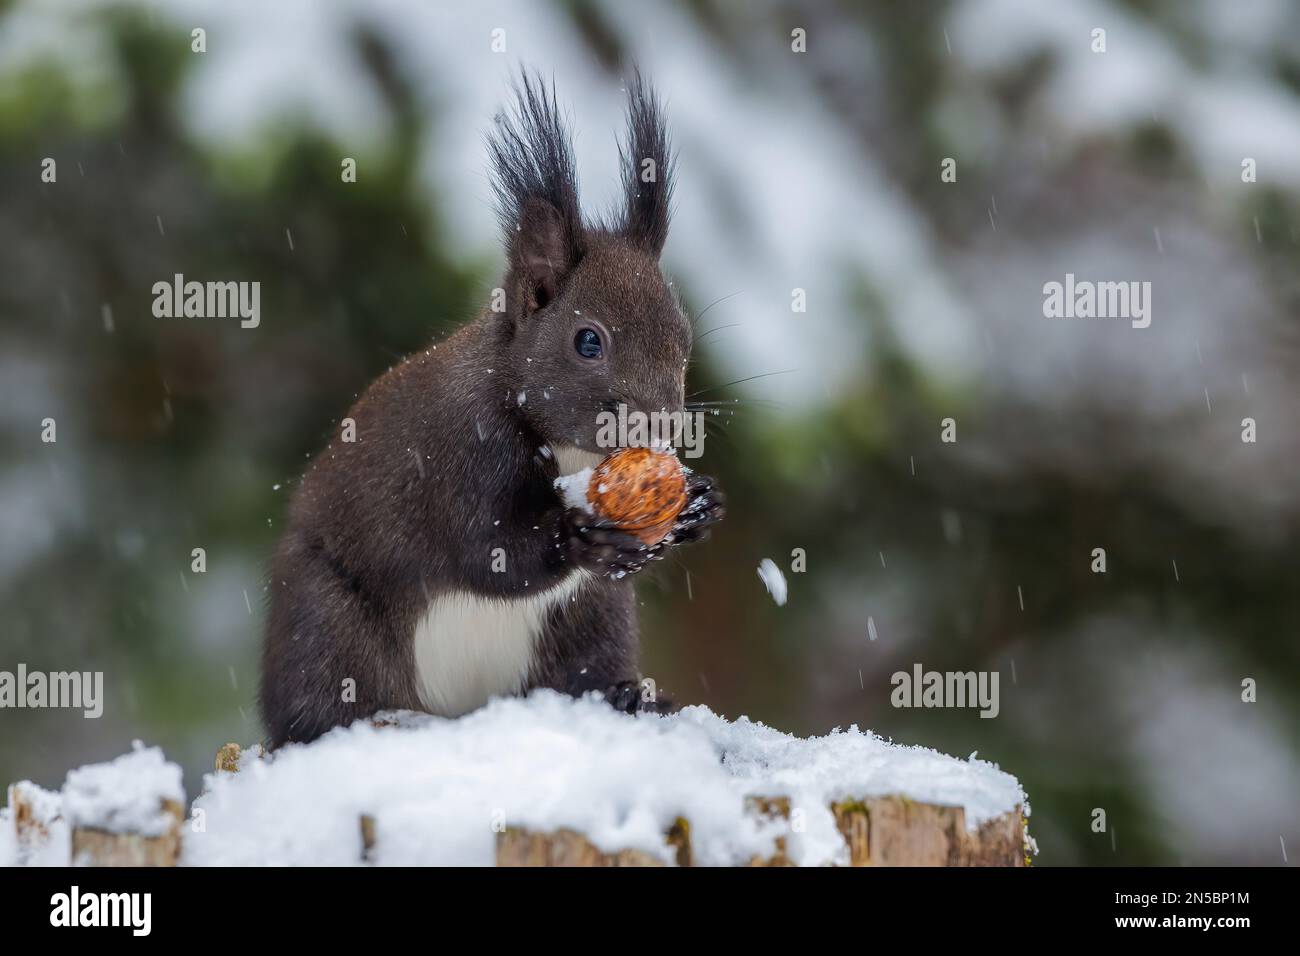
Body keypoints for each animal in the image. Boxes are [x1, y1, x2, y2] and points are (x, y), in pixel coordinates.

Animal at [260, 73, 725, 747]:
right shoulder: (457, 456)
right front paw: (576, 537)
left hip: (592, 622)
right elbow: (488, 553)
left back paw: (627, 696)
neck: (568, 450)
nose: (662, 428)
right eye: (588, 341)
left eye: (683, 337)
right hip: (326, 621)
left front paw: (698, 507)